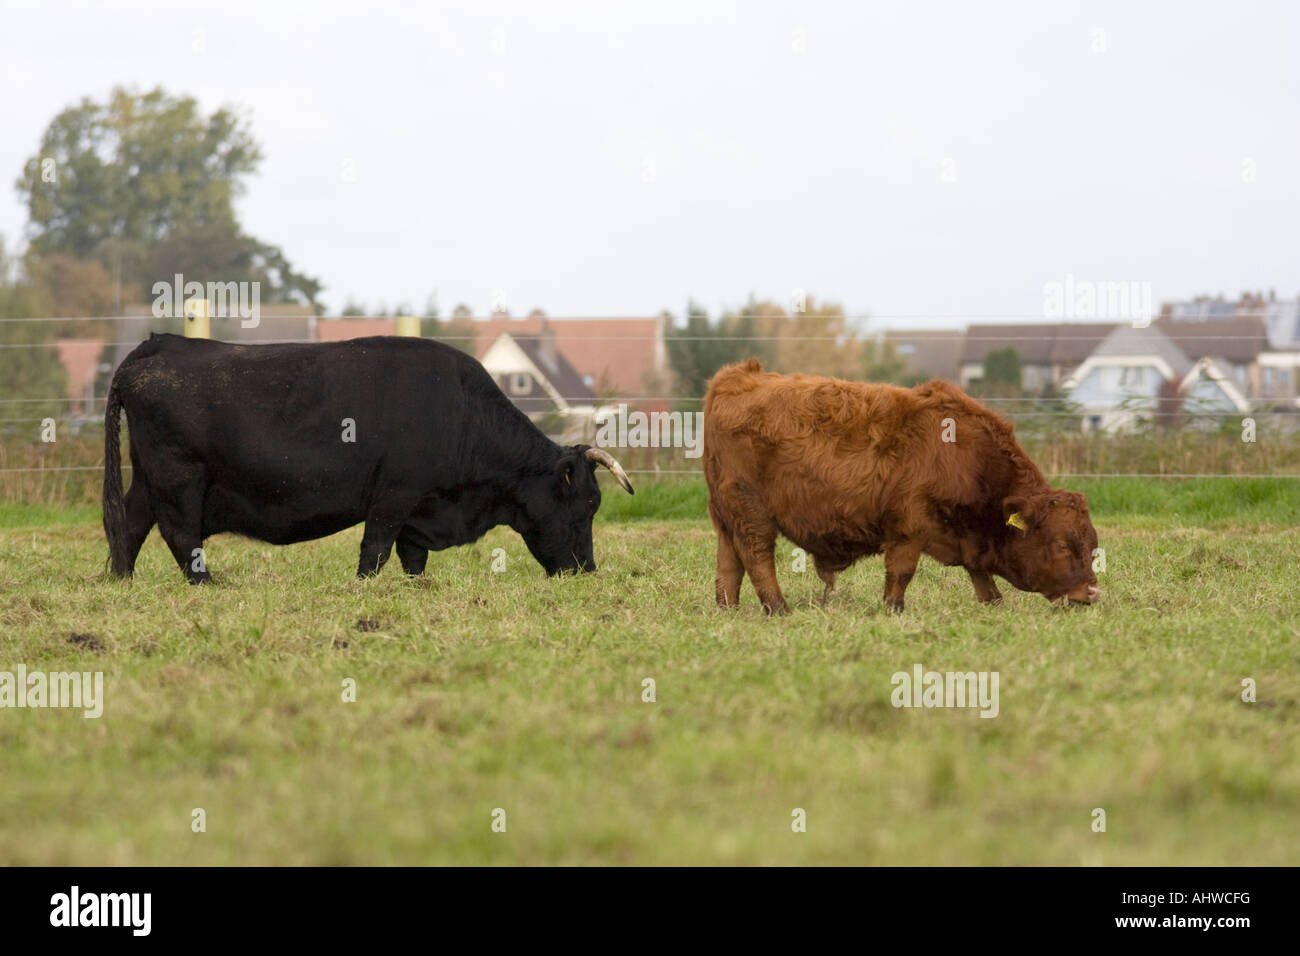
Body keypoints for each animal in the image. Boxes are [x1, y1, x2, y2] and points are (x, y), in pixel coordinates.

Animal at [102, 332, 634, 580]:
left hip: (149, 480)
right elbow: (373, 553)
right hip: (179, 479)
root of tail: (162, 342)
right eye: (585, 505)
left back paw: (121, 581)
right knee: (179, 535)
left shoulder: (419, 516)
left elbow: (411, 560)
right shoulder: (394, 498)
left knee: (129, 525)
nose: (586, 570)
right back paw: (208, 584)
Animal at [707, 361, 1102, 616]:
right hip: (752, 515)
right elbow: (902, 572)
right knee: (757, 557)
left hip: (727, 518)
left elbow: (981, 576)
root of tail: (739, 376)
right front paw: (893, 610)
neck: (967, 455)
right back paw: (778, 609)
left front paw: (994, 605)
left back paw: (728, 608)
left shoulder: (967, 539)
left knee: (729, 562)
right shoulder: (909, 527)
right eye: (1061, 545)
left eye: (1091, 544)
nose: (1092, 591)